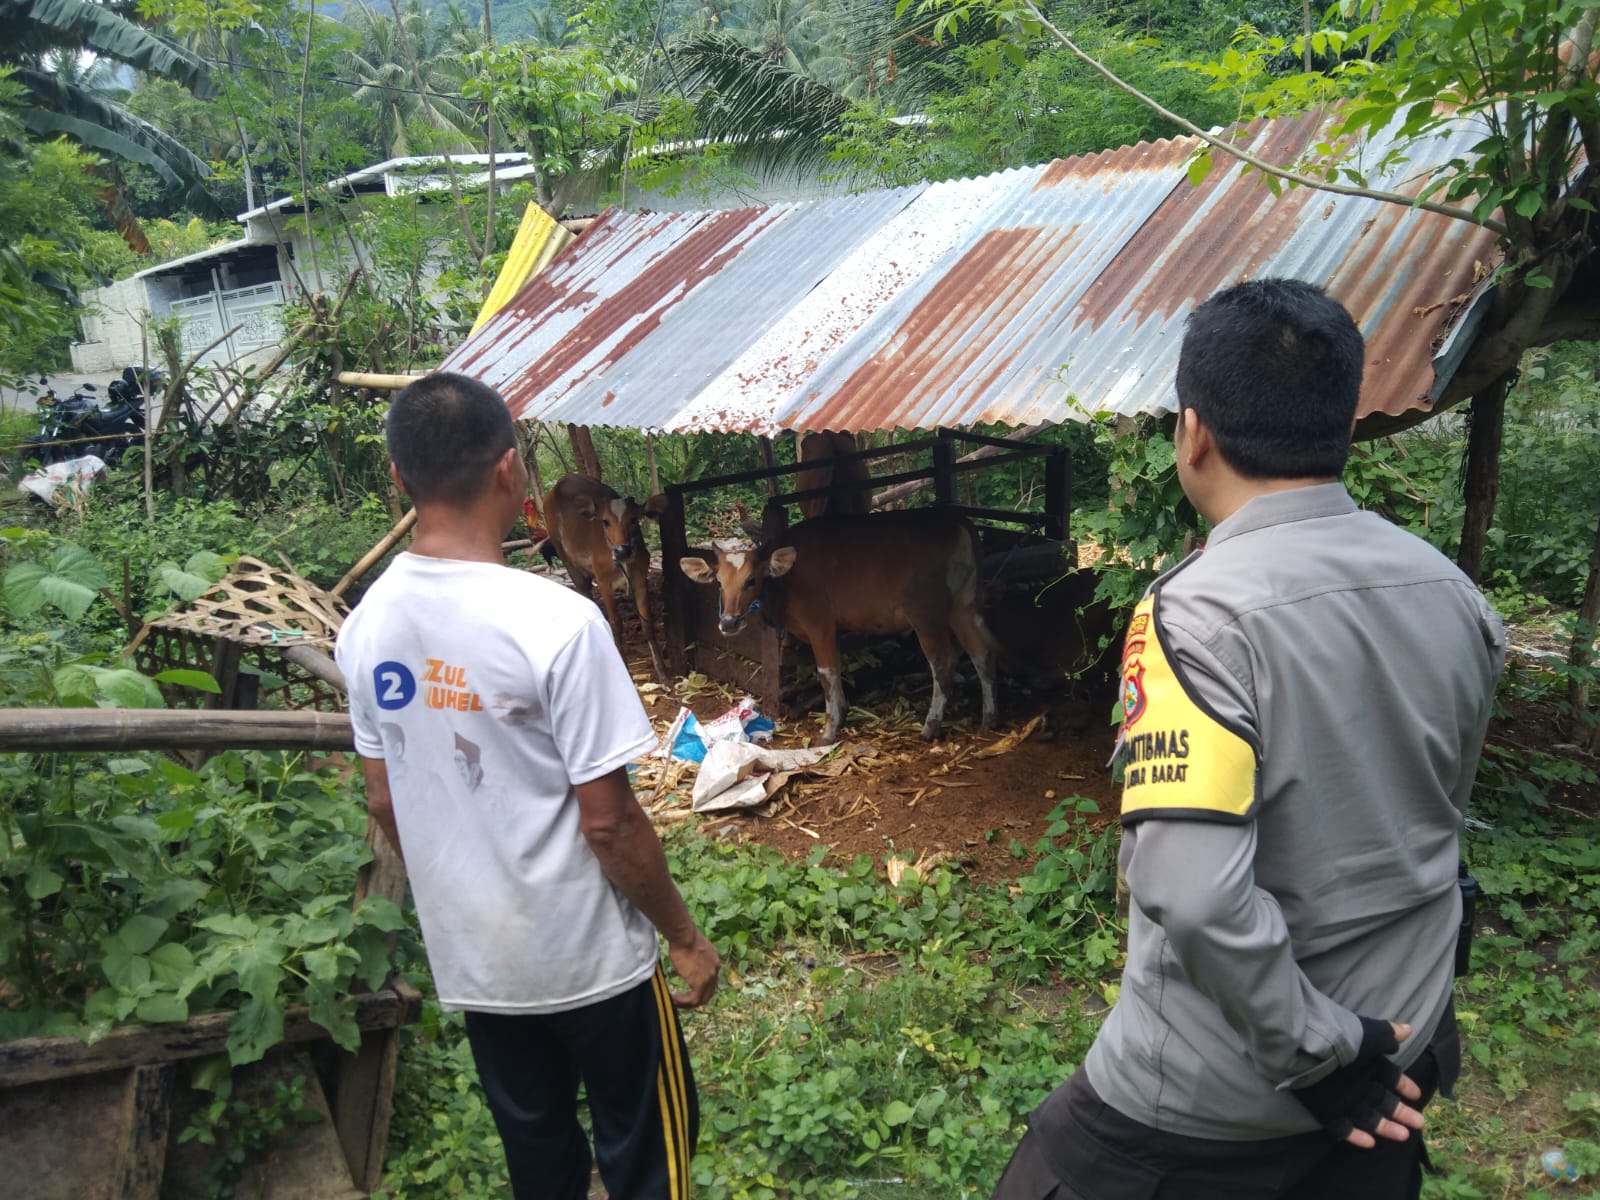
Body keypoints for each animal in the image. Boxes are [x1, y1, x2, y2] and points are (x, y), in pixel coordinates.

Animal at [534, 480, 665, 684]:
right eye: (605, 521)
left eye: (634, 519)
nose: (622, 550)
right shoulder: (604, 582)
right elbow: (615, 624)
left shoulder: (640, 578)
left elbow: (647, 623)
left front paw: (663, 674)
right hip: (567, 560)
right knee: (584, 592)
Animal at [678, 512, 998, 748]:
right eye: (719, 583)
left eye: (751, 580)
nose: (729, 622)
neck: (787, 580)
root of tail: (957, 522)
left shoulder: (819, 624)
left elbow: (827, 673)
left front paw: (831, 728)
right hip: (964, 607)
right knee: (982, 652)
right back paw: (989, 717)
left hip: (925, 615)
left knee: (943, 661)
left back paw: (931, 725)